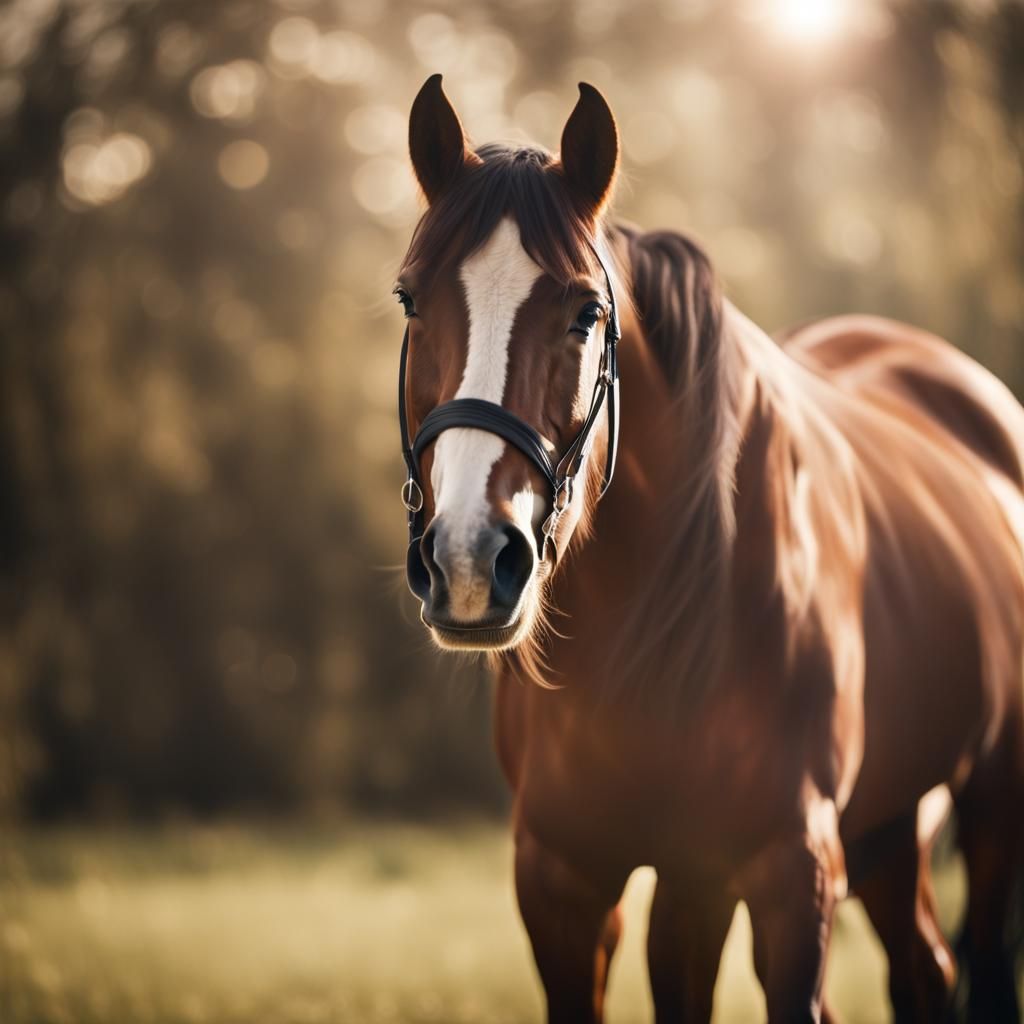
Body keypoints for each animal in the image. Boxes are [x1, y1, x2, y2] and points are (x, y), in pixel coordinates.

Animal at [394, 74, 1024, 1023]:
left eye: (587, 312)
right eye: (409, 299)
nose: (470, 561)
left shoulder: (787, 874)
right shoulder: (568, 881)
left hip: (989, 809)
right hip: (886, 826)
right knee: (925, 971)